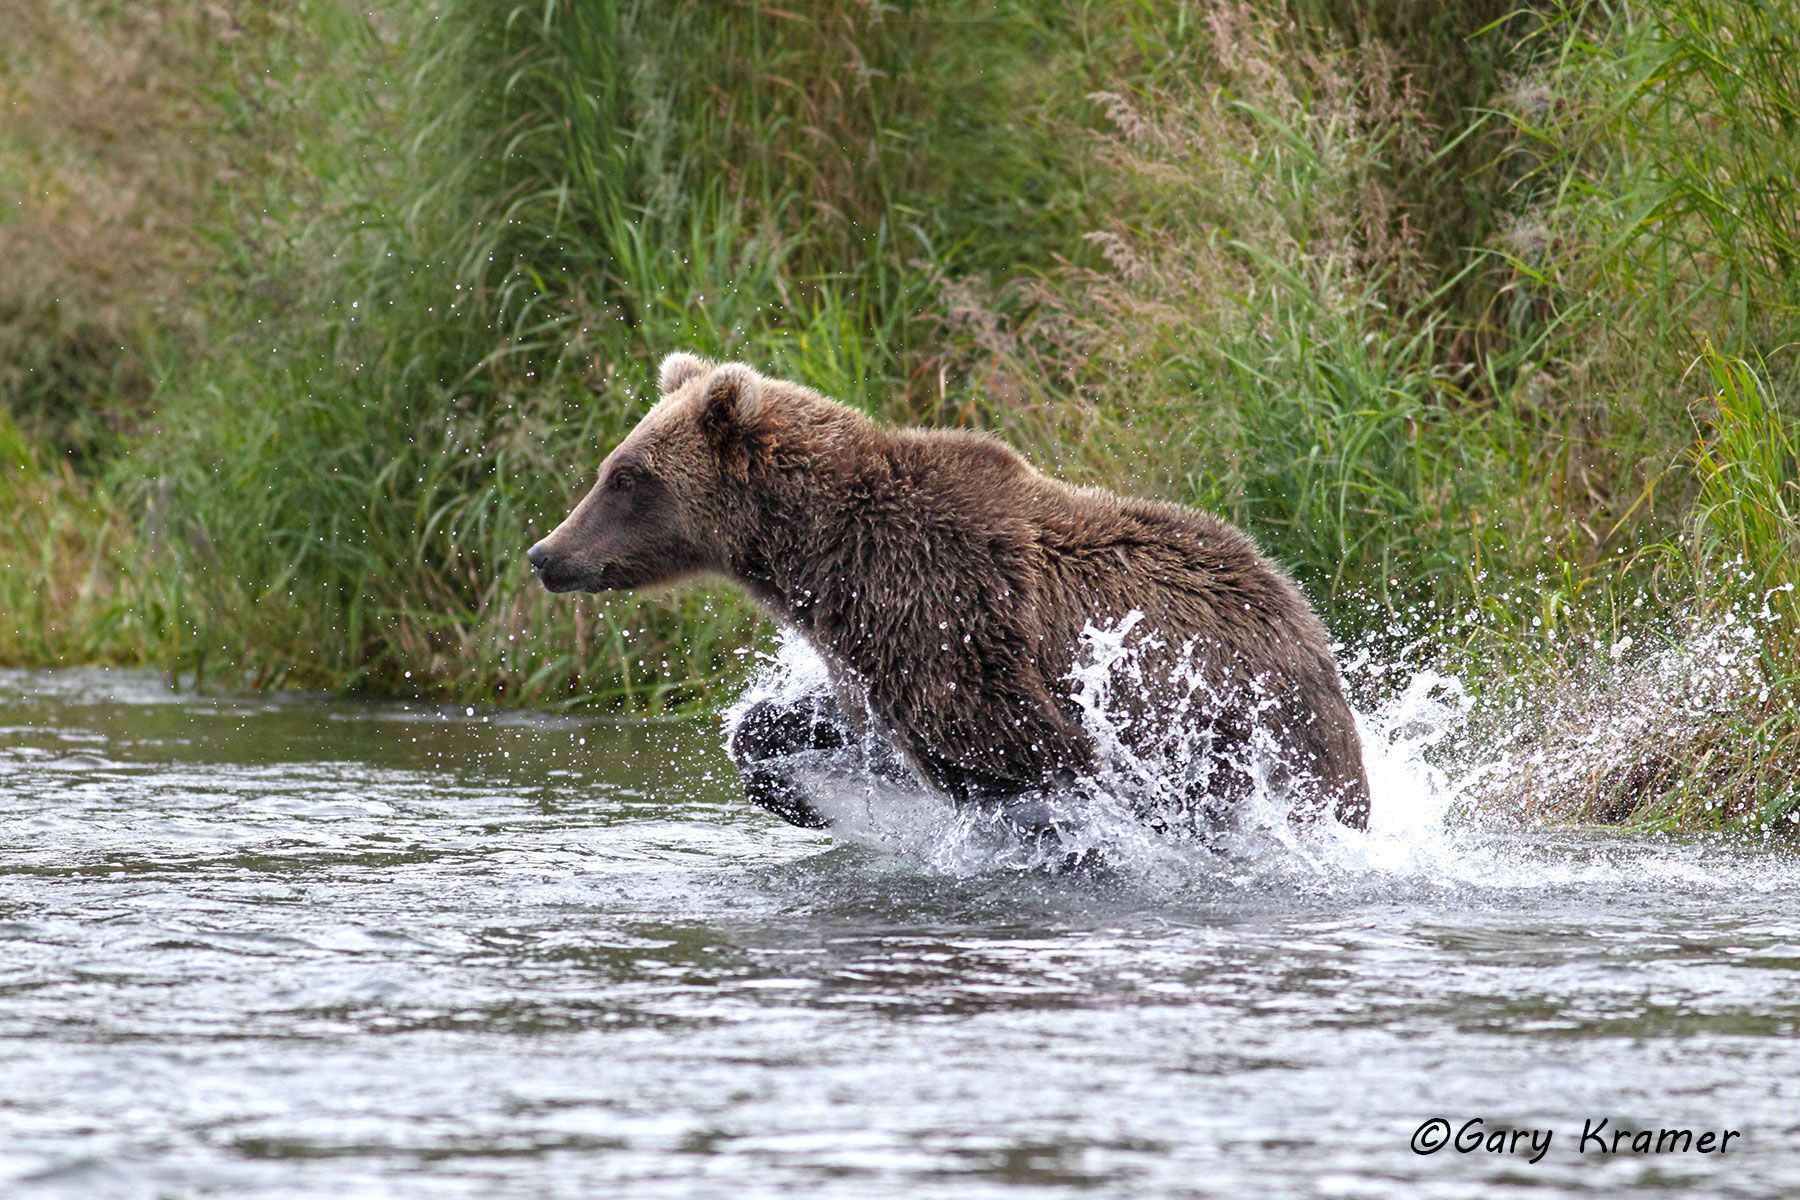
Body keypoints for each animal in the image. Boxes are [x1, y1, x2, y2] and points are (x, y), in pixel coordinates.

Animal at [527, 353, 1370, 835]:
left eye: (626, 476)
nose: (545, 554)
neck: (821, 554)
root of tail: (1305, 615)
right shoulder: (873, 640)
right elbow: (847, 726)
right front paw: (788, 785)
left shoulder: (949, 609)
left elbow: (1011, 752)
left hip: (1250, 724)